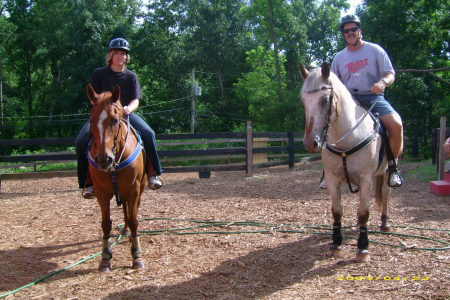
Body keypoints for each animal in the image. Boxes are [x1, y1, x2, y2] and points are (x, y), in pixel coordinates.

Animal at [86, 83, 146, 270]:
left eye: (114, 120)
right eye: (91, 121)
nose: (104, 159)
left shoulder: (133, 189)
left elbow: (134, 220)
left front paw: (137, 256)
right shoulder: (101, 193)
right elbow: (106, 224)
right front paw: (105, 257)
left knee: (131, 211)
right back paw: (124, 231)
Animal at [300, 63, 392, 262]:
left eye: (325, 100)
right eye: (303, 101)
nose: (311, 142)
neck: (347, 138)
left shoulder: (366, 179)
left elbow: (363, 212)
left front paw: (363, 248)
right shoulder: (333, 179)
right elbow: (337, 211)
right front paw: (336, 244)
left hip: (388, 171)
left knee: (385, 193)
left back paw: (384, 223)